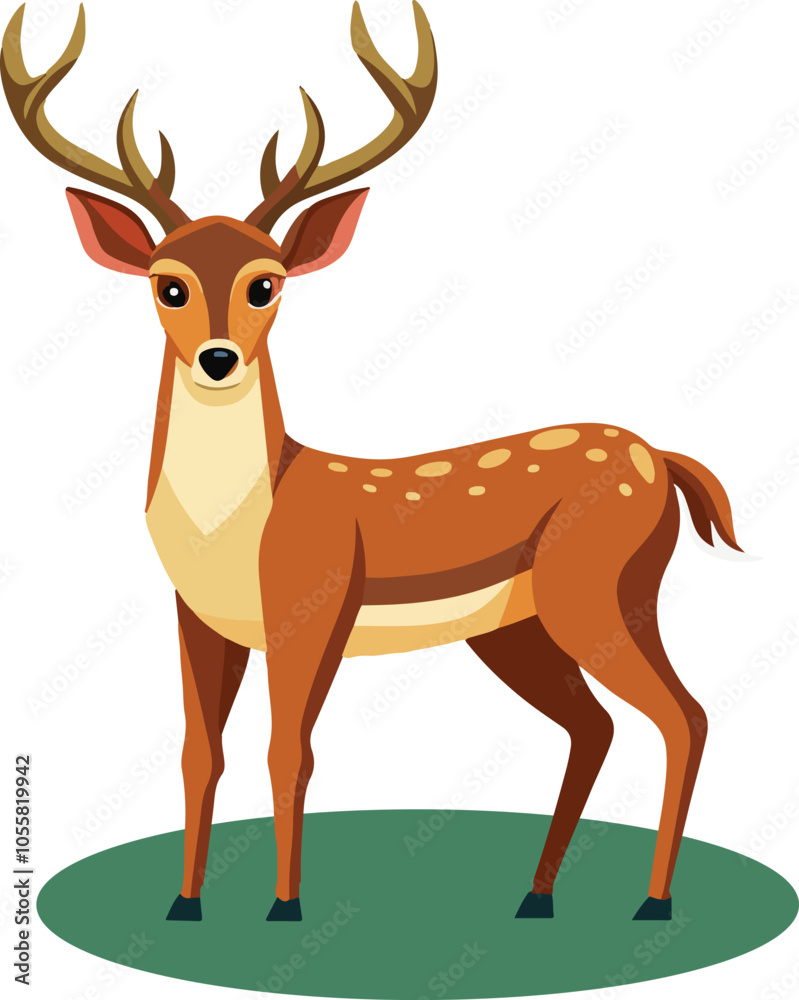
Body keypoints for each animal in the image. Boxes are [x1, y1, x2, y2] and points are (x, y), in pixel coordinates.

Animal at [2, 1, 742, 925]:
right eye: (167, 284)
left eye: (266, 283)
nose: (217, 358)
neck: (236, 529)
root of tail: (662, 460)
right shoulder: (196, 618)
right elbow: (198, 752)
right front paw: (183, 904)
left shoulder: (315, 605)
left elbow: (289, 750)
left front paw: (284, 909)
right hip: (518, 627)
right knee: (595, 726)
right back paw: (535, 897)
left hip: (603, 585)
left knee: (684, 716)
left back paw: (652, 902)